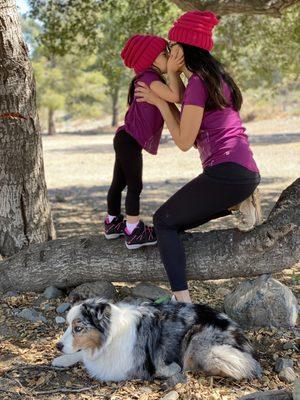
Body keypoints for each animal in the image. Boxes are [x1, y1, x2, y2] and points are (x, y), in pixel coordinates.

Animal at [52, 300, 262, 382]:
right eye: (68, 325)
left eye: (78, 328)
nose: (58, 345)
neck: (110, 337)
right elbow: (81, 356)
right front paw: (61, 360)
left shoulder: (126, 368)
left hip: (202, 343)